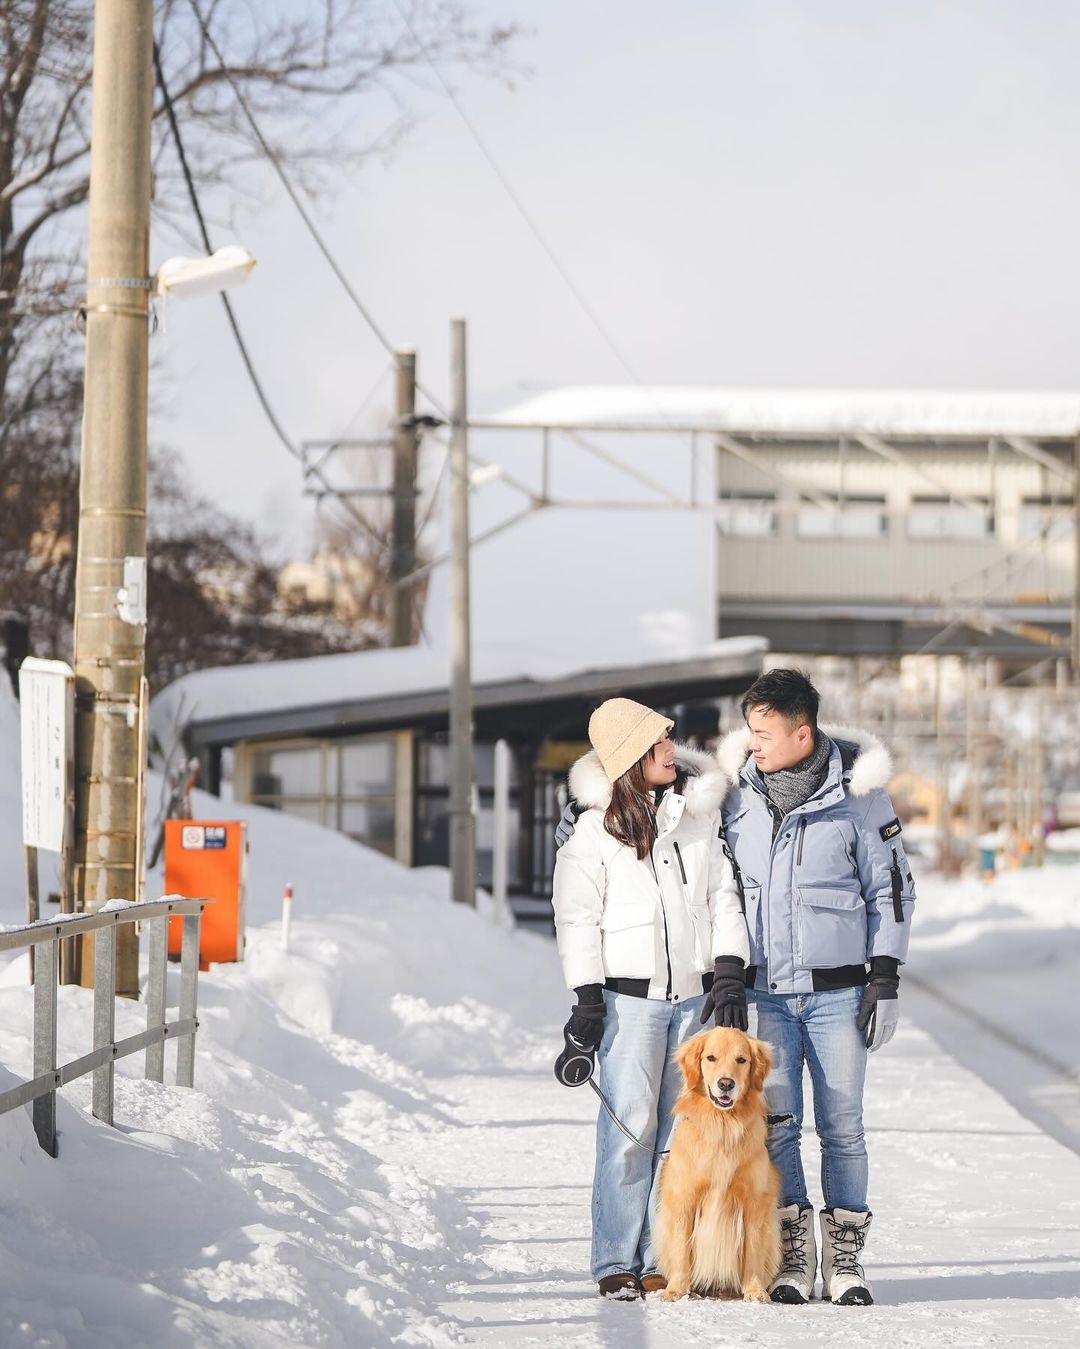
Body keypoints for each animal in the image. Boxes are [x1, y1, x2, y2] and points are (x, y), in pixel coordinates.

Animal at [652, 1025, 782, 1300]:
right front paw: (676, 1290)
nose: (726, 1084)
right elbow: (681, 1251)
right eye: (711, 1058)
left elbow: (752, 1251)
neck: (722, 1127)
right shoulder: (684, 1200)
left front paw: (754, 1291)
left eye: (741, 1060)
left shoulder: (754, 1203)